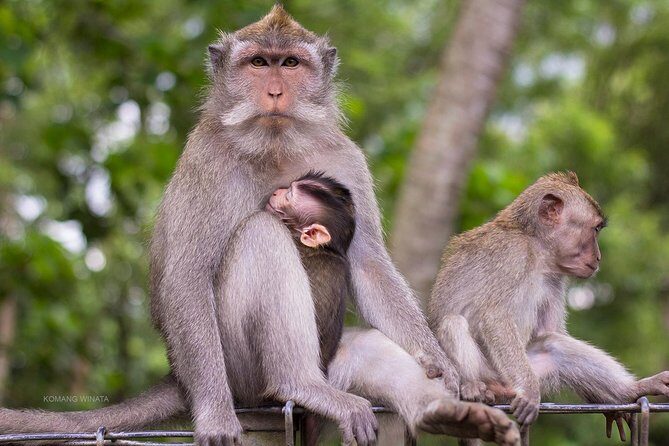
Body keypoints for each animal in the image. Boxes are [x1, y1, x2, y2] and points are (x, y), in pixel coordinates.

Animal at [0, 6, 520, 446]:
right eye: (257, 63)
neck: (275, 142)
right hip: (238, 371)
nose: (274, 92)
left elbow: (368, 264)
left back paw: (441, 411)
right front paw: (214, 416)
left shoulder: (345, 158)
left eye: (289, 63)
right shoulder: (206, 160)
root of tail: (178, 375)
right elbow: (186, 275)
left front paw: (445, 366)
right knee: (260, 236)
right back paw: (297, 384)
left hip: (325, 362)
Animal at [428, 172, 669, 439]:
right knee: (453, 322)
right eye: (595, 229)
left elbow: (550, 332)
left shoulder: (555, 278)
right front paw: (531, 391)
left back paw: (632, 389)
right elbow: (494, 317)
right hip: (496, 371)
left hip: (520, 373)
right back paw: (473, 387)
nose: (598, 257)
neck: (537, 249)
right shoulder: (513, 255)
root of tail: (502, 385)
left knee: (555, 345)